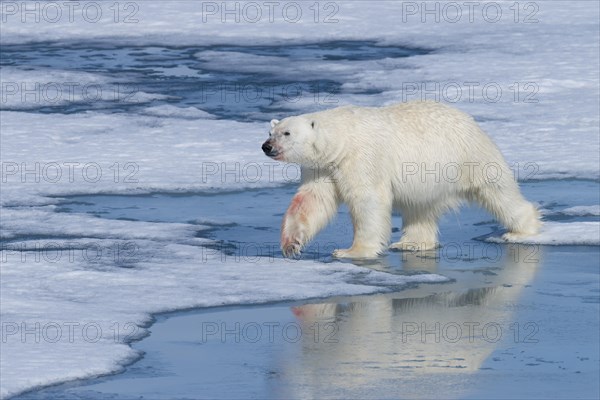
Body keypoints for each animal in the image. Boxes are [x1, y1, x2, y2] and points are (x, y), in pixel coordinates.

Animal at [262, 101, 540, 260]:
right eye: (271, 131)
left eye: (287, 133)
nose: (267, 146)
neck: (340, 139)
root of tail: (471, 121)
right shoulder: (321, 167)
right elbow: (311, 200)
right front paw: (291, 245)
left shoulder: (362, 157)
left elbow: (368, 200)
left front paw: (352, 251)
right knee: (419, 208)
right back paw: (411, 243)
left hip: (469, 157)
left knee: (498, 192)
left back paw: (521, 231)